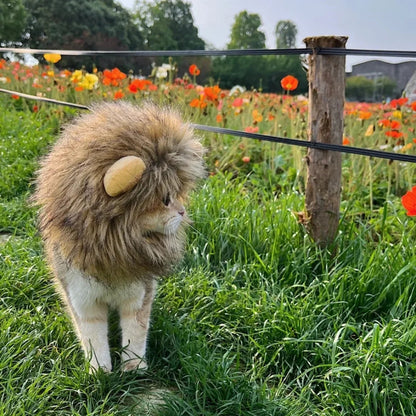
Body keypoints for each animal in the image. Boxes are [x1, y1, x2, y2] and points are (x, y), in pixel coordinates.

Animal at [33, 101, 206, 374]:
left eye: (176, 194)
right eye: (165, 199)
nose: (182, 211)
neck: (114, 255)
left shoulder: (138, 298)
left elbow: (135, 336)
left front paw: (134, 368)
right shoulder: (84, 302)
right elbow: (93, 339)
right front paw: (100, 372)